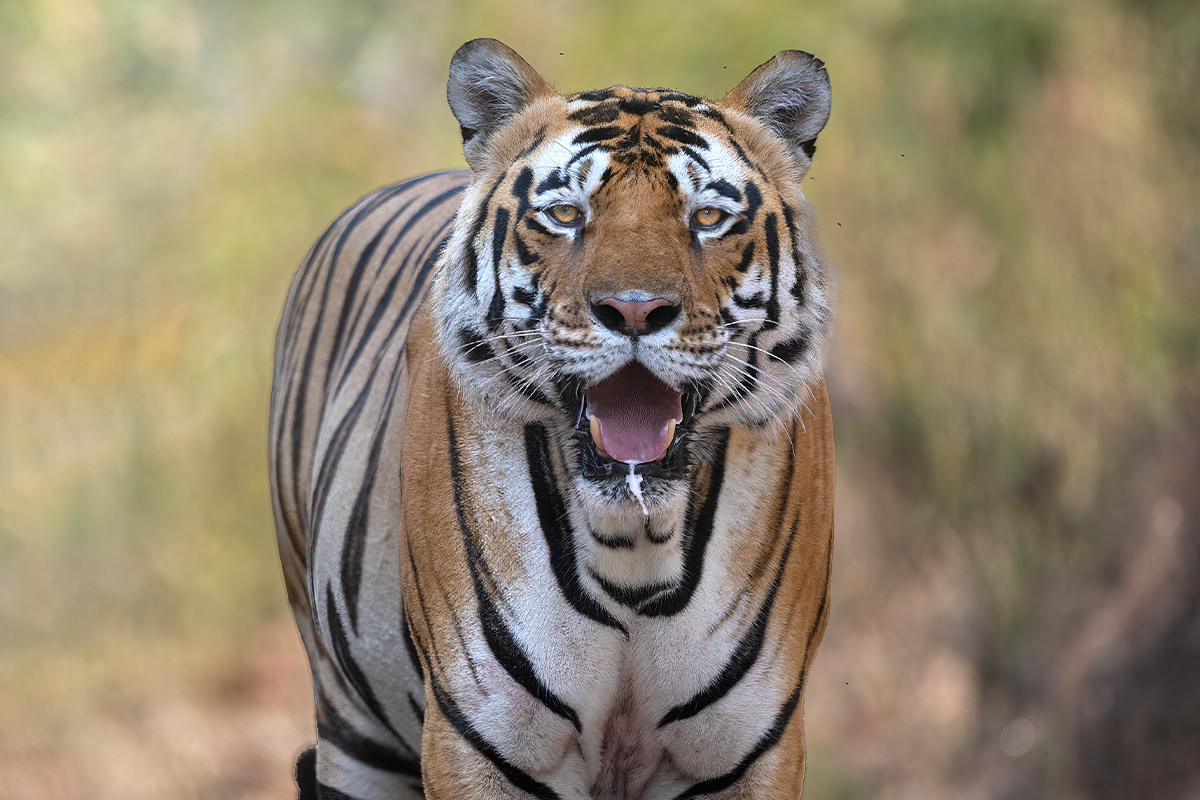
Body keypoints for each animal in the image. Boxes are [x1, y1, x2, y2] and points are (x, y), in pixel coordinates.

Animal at [269, 37, 836, 800]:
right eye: (567, 215)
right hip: (350, 725)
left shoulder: (744, 750)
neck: (634, 544)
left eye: (708, 219)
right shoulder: (490, 739)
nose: (634, 310)